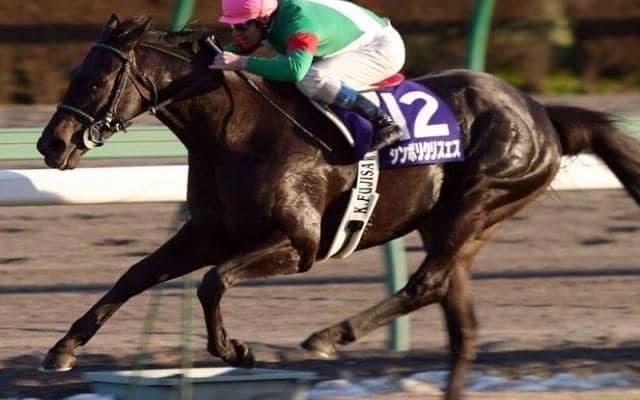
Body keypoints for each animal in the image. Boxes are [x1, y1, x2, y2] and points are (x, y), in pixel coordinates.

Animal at [36, 15, 640, 400]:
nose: (50, 145)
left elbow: (212, 282)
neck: (237, 131)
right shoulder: (209, 233)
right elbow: (135, 275)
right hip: (454, 223)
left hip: (480, 201)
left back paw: (329, 335)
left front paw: (235, 349)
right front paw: (63, 349)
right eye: (75, 74)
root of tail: (539, 111)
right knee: (459, 320)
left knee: (425, 285)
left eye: (98, 78)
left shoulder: (299, 244)